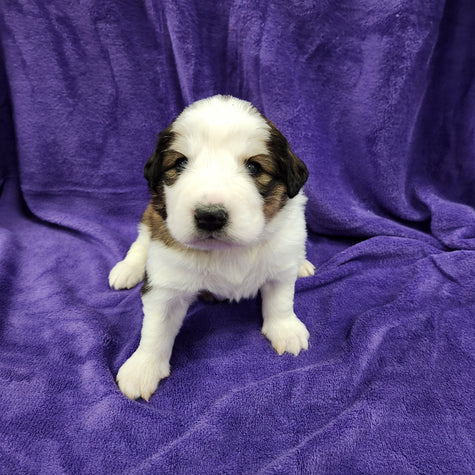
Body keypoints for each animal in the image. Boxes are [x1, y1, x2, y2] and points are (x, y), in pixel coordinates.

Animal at [109, 96, 314, 402]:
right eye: (180, 163)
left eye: (254, 167)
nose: (210, 216)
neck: (227, 250)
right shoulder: (166, 282)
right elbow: (155, 328)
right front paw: (142, 367)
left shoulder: (279, 264)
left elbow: (280, 300)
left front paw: (286, 329)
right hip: (151, 218)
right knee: (140, 241)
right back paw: (126, 269)